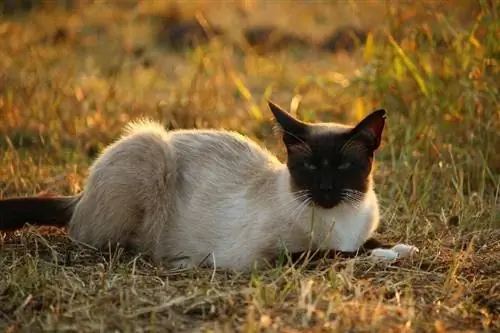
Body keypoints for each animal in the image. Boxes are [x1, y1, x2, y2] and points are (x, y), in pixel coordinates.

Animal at [0, 101, 418, 270]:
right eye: (310, 167)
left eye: (345, 167)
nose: (326, 190)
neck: (339, 219)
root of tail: (80, 194)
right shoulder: (270, 257)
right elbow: (336, 254)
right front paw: (385, 256)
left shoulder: (357, 232)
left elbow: (367, 242)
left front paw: (402, 248)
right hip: (150, 147)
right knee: (105, 242)